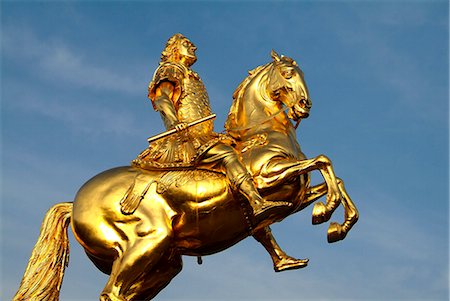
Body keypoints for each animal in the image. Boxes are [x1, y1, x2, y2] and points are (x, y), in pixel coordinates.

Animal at [14, 51, 358, 300]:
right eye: (288, 74)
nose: (305, 105)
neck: (261, 134)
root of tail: (75, 204)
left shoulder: (296, 195)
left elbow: (333, 179)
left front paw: (334, 223)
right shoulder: (267, 179)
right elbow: (322, 162)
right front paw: (326, 214)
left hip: (164, 263)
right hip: (147, 243)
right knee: (112, 293)